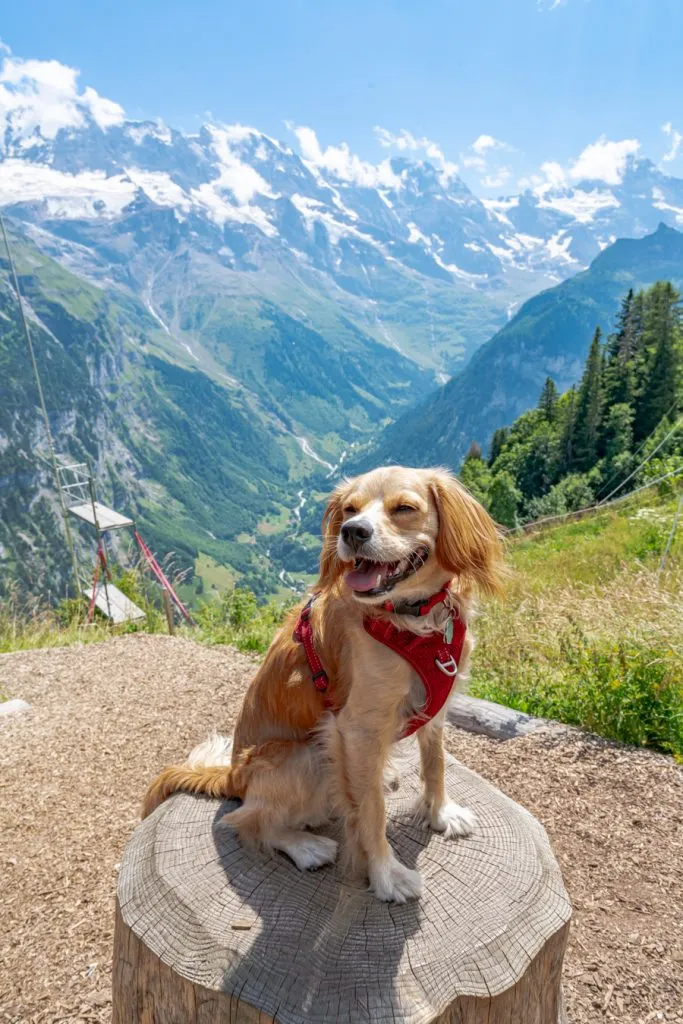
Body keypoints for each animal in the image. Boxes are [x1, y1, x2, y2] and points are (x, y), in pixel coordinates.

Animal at [141, 468, 505, 901]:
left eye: (404, 508)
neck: (411, 619)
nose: (352, 532)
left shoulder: (435, 704)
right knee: (247, 820)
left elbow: (435, 765)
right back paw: (305, 846)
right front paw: (386, 874)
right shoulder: (357, 727)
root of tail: (232, 776)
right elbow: (371, 811)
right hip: (307, 754)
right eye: (349, 509)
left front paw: (440, 814)